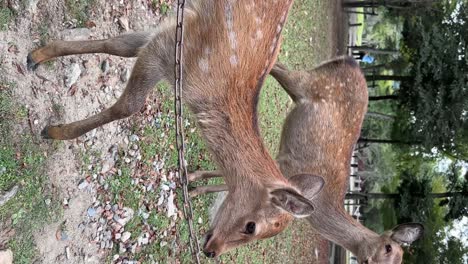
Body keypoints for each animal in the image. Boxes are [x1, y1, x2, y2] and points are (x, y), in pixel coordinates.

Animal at [26, 0, 326, 258]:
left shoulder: (170, 36)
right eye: (251, 227)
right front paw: (53, 130)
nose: (212, 251)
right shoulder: (169, 46)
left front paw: (36, 56)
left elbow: (119, 45)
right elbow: (127, 100)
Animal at [188, 56, 426, 262]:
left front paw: (194, 182)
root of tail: (351, 62)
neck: (321, 205)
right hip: (305, 81)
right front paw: (194, 186)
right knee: (279, 67)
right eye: (387, 248)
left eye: (398, 261)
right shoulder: (282, 171)